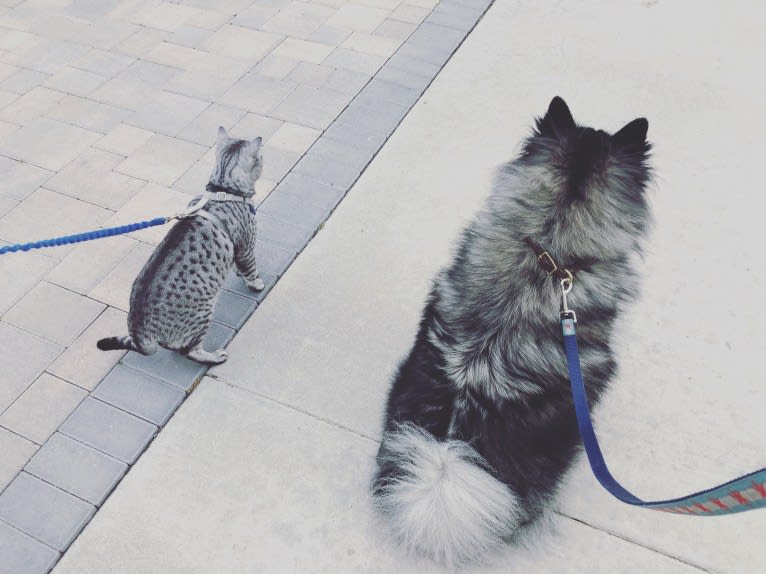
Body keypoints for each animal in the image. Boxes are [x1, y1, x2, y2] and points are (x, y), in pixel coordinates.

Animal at [99, 128, 268, 366]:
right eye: (260, 159)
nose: (264, 159)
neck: (222, 189)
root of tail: (140, 333)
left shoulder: (236, 251)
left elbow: (239, 267)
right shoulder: (245, 247)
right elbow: (251, 269)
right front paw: (257, 283)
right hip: (203, 311)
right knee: (189, 350)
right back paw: (213, 356)